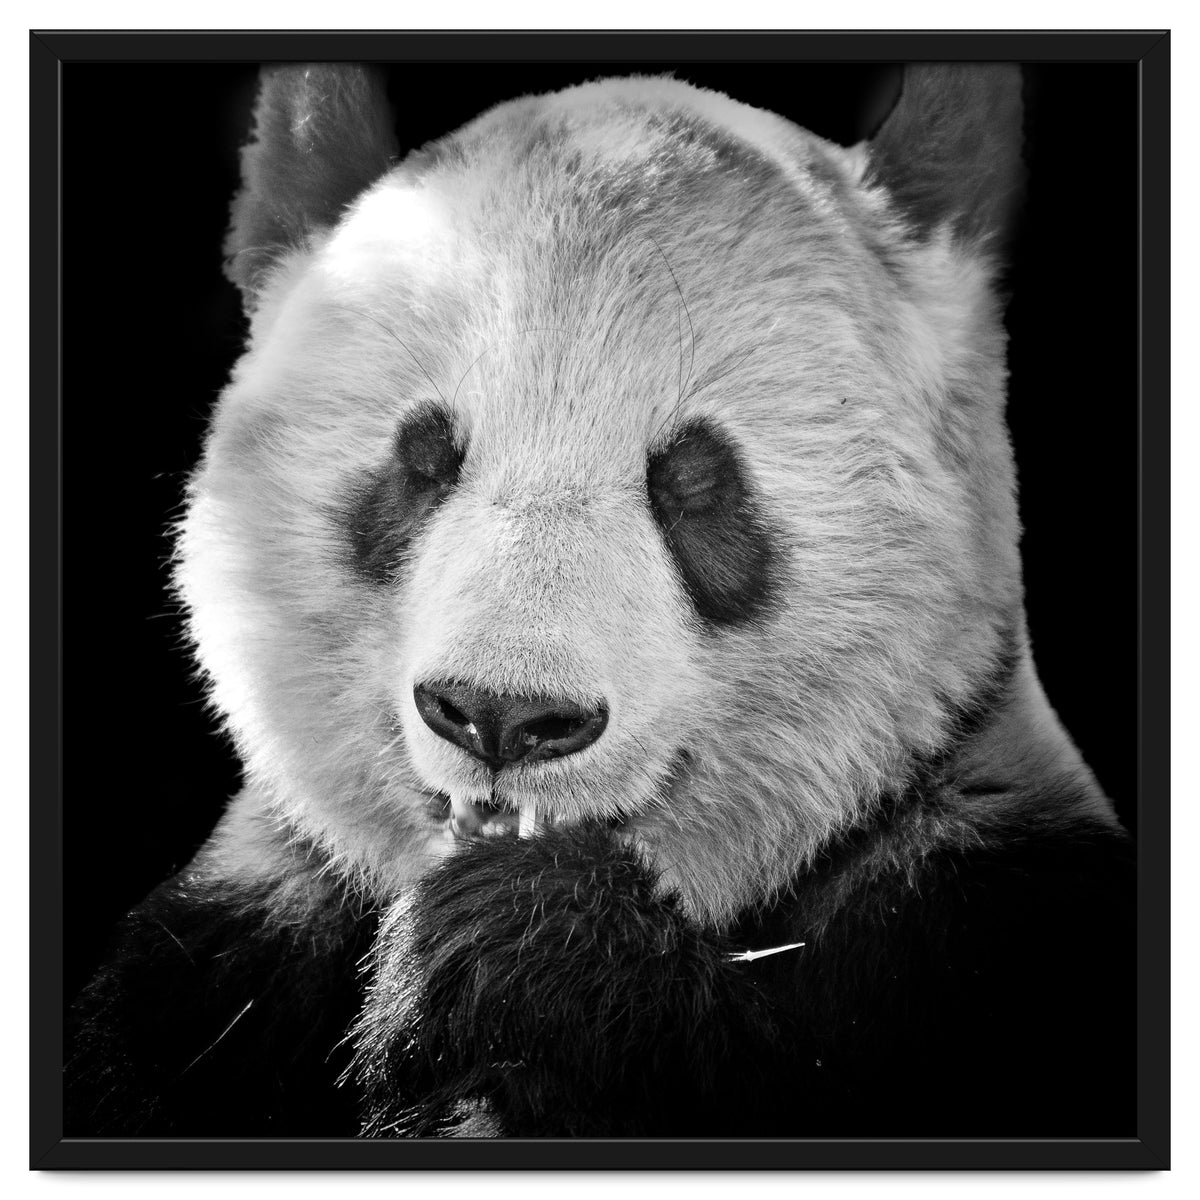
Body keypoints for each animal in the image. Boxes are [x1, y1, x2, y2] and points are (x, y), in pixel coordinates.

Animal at [65, 62, 1134, 1140]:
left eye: (694, 482)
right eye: (423, 460)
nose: (502, 715)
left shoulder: (980, 918)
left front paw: (519, 949)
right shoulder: (223, 959)